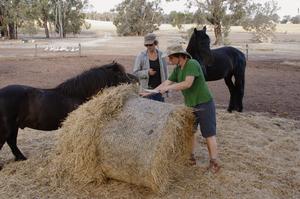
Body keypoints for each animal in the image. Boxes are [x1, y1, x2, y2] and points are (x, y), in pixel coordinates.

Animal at [0, 61, 138, 167]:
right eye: (120, 73)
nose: (134, 81)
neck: (77, 94)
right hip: (7, 128)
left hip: (14, 127)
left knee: (12, 142)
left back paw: (21, 158)